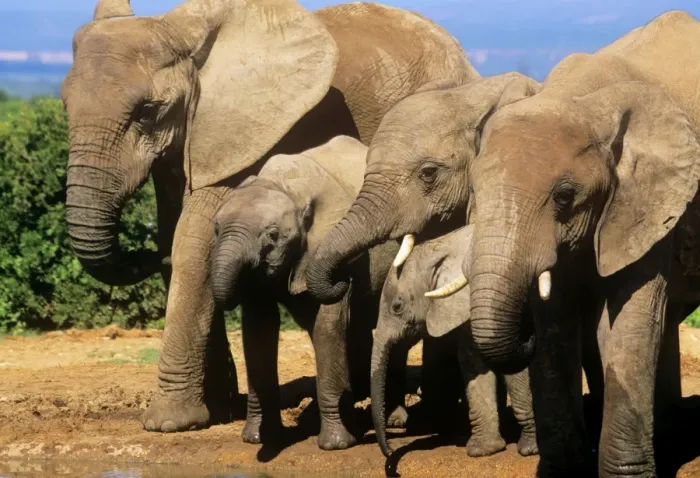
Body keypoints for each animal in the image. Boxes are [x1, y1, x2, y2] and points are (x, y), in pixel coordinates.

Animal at [210, 135, 409, 448]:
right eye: (216, 229)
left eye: (272, 235)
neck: (285, 186)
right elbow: (258, 329)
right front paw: (257, 438)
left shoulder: (331, 248)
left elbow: (327, 324)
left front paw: (336, 445)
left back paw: (392, 420)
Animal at [372, 225, 537, 477]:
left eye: (397, 307)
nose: (390, 452)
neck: (445, 245)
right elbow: (473, 363)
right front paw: (484, 451)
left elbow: (515, 366)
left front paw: (531, 449)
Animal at [431, 10, 700, 477]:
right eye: (475, 195)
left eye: (564, 197)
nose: (523, 334)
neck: (582, 98)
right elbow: (557, 323)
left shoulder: (648, 206)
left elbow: (628, 322)